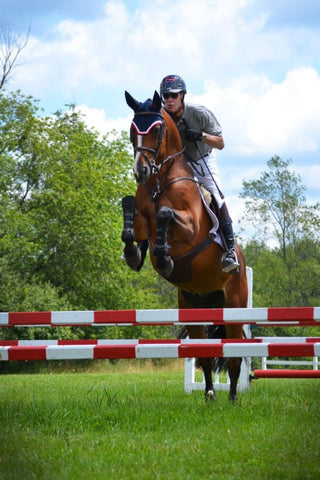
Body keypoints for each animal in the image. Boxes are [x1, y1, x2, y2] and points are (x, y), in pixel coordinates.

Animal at [121, 90, 249, 402]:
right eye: (132, 130)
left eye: (156, 130)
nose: (141, 171)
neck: (160, 181)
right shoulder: (142, 223)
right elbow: (129, 214)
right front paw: (133, 254)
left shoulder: (190, 227)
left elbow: (166, 215)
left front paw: (164, 258)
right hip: (193, 306)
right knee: (205, 355)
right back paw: (210, 394)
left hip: (234, 307)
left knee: (234, 356)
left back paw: (232, 398)